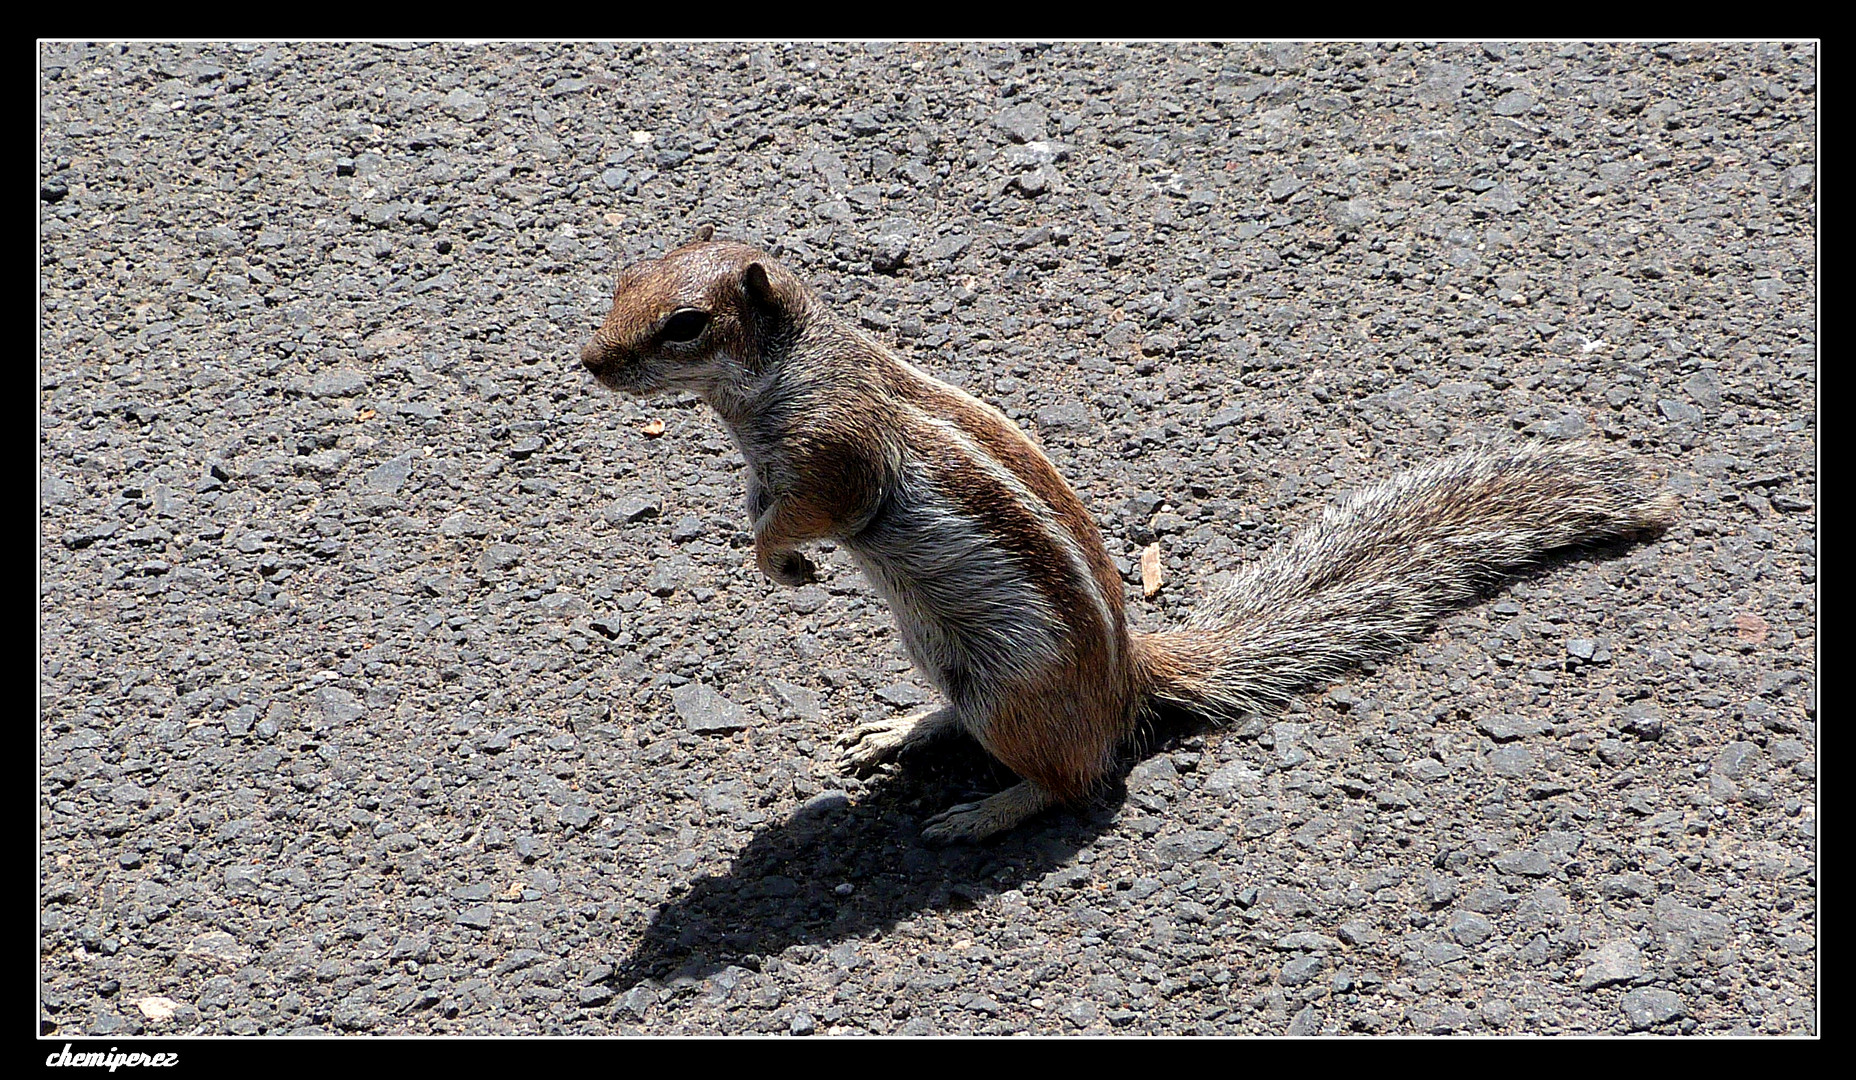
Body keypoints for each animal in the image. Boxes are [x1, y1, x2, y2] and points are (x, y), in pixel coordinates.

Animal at [579, 228, 1685, 849]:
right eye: (622, 281)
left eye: (684, 324)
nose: (590, 361)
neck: (781, 375)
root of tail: (1129, 675)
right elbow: (757, 506)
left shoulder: (833, 453)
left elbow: (802, 513)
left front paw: (779, 561)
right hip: (946, 659)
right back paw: (899, 730)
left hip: (1013, 697)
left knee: (1076, 778)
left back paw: (983, 813)